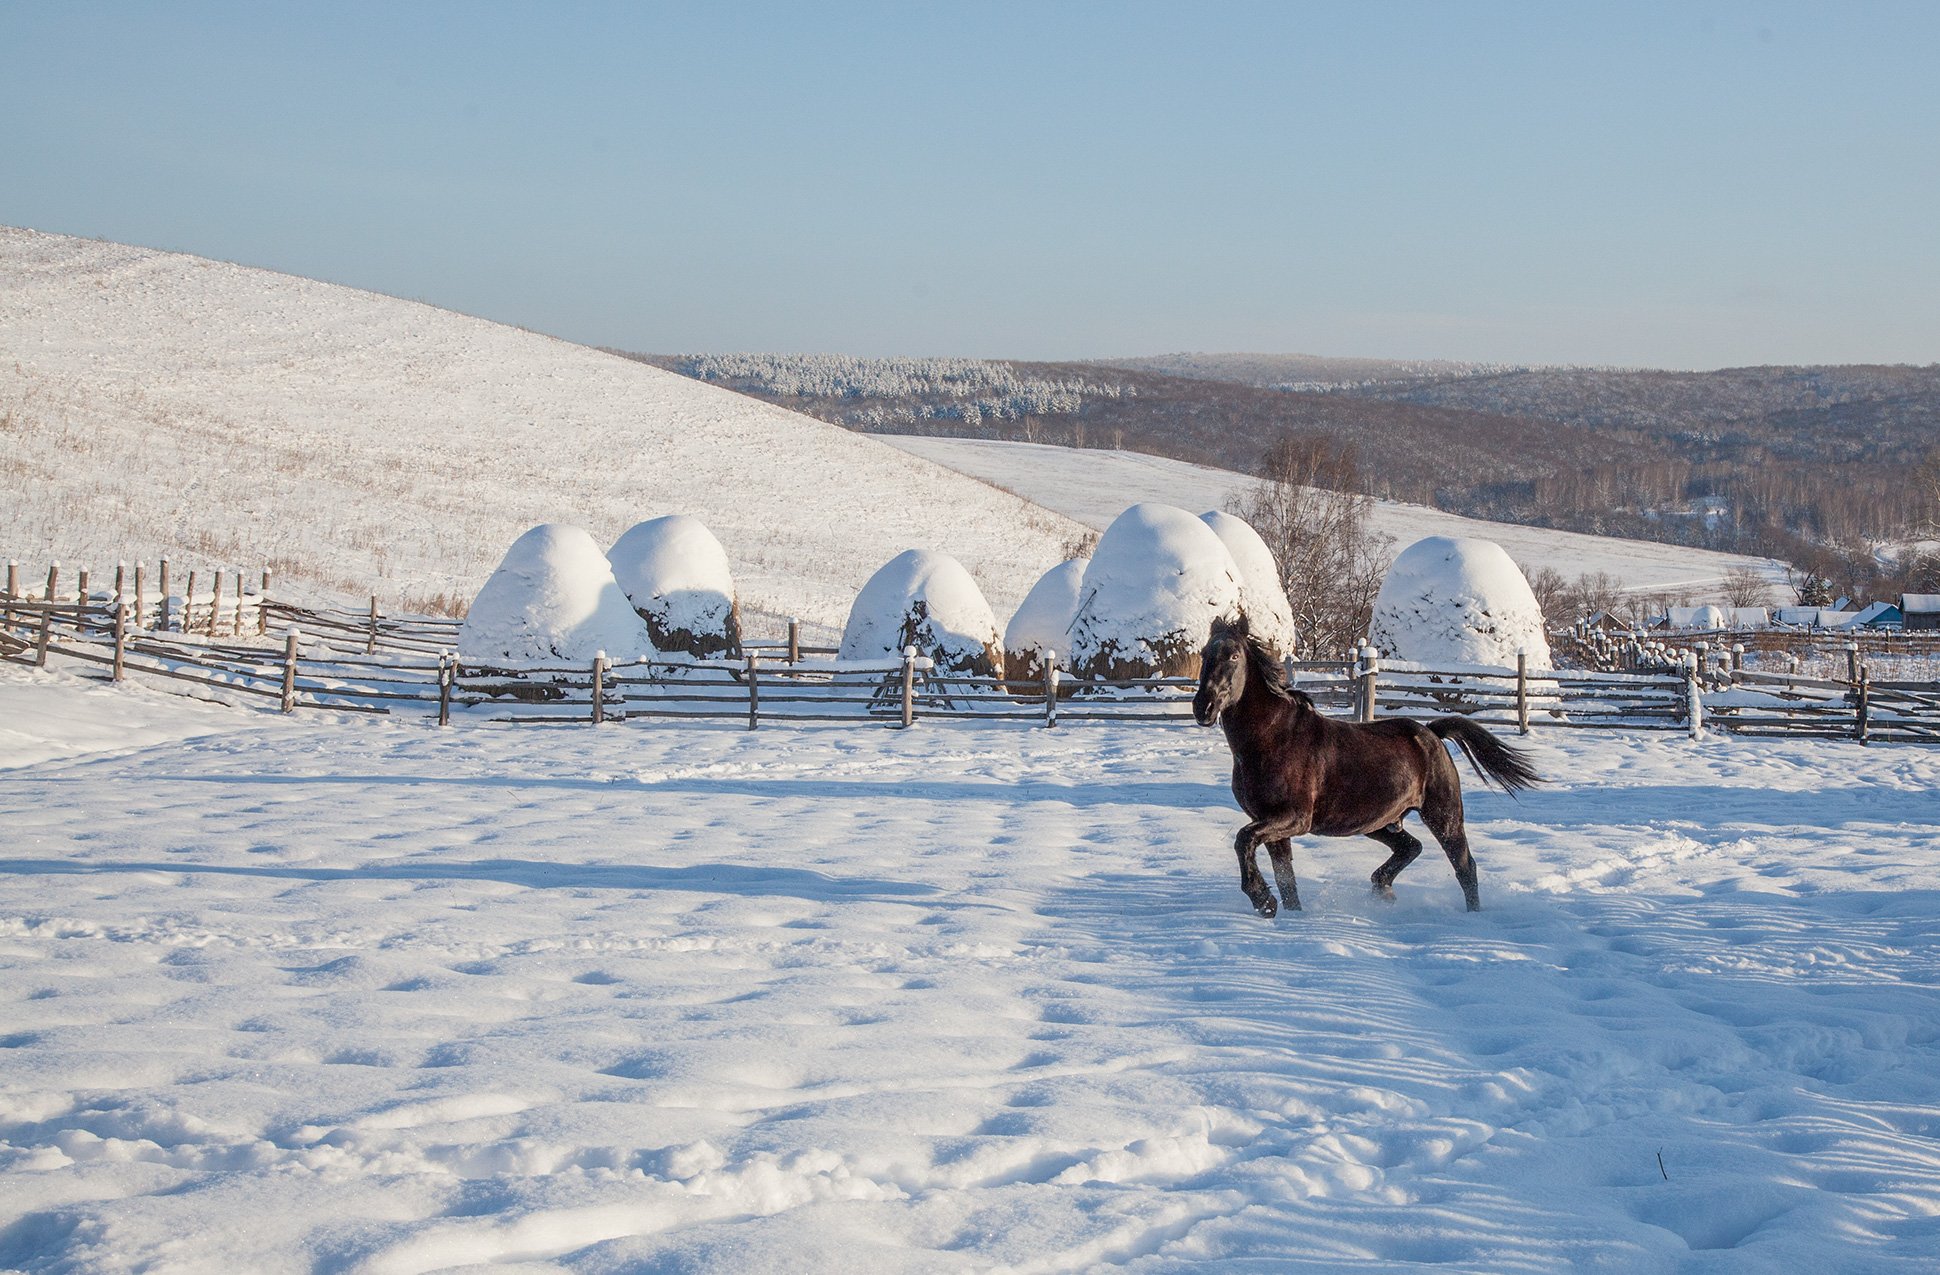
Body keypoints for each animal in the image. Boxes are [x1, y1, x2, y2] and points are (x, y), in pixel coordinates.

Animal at [1187, 617, 1536, 915]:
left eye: (1234, 656)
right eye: (1204, 653)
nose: (1203, 707)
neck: (1271, 739)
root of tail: (1431, 733)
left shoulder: (1293, 818)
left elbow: (1243, 840)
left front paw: (1262, 900)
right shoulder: (1271, 824)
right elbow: (1286, 881)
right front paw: (1283, 911)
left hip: (1443, 816)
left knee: (1465, 867)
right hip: (1380, 822)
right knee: (1412, 847)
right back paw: (1383, 889)